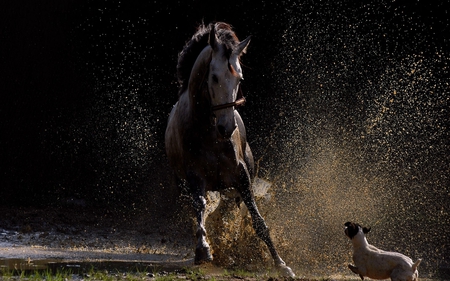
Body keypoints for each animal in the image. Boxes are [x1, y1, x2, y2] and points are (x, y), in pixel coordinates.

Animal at [165, 21, 296, 276]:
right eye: (214, 77)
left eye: (240, 79)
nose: (227, 127)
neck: (209, 132)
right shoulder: (195, 177)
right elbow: (200, 206)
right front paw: (203, 250)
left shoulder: (242, 175)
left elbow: (258, 220)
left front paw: (281, 263)